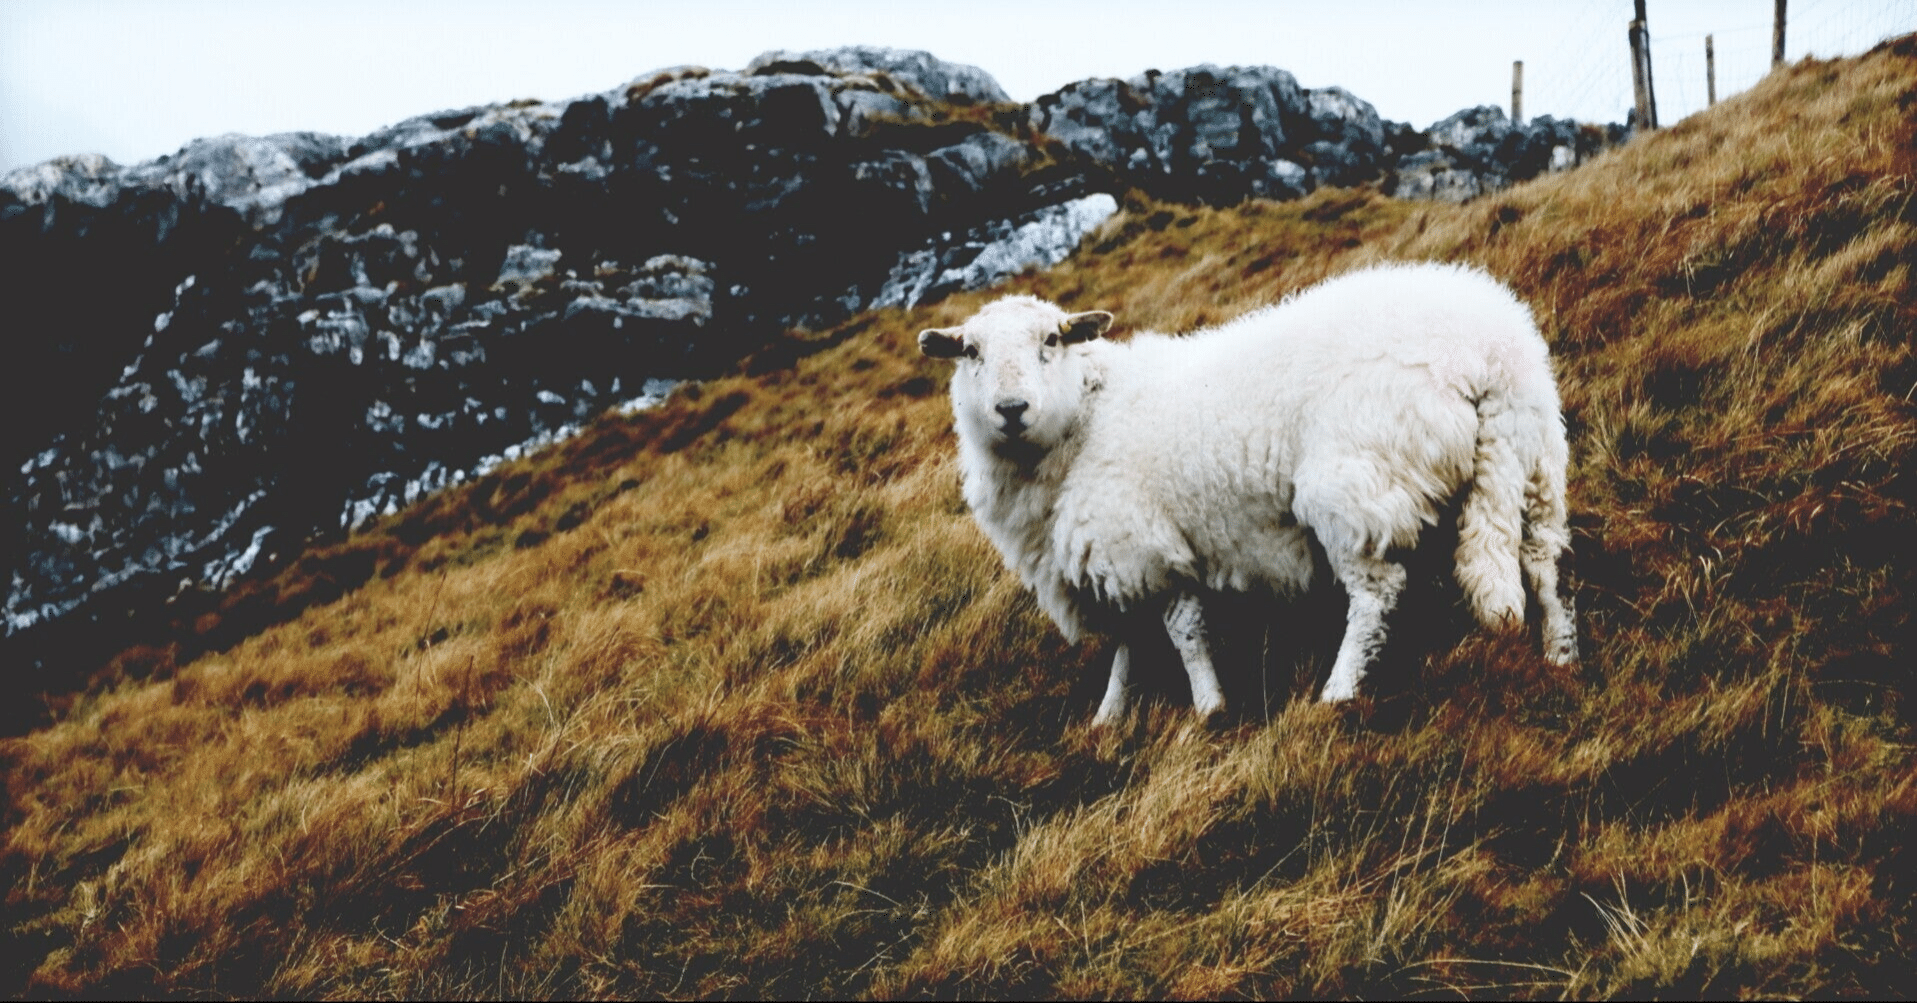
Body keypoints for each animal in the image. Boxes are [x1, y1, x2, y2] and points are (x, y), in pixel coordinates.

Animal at [920, 262, 1579, 724]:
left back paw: (1338, 691)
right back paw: (1561, 655)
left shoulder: (1146, 546)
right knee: (1543, 568)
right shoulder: (1120, 558)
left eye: (1052, 341)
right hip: (1535, 465)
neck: (1086, 417)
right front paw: (1108, 719)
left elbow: (1182, 634)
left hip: (1355, 486)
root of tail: (1486, 354)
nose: (1011, 410)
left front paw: (1209, 708)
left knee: (1376, 597)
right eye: (971, 352)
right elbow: (1130, 645)